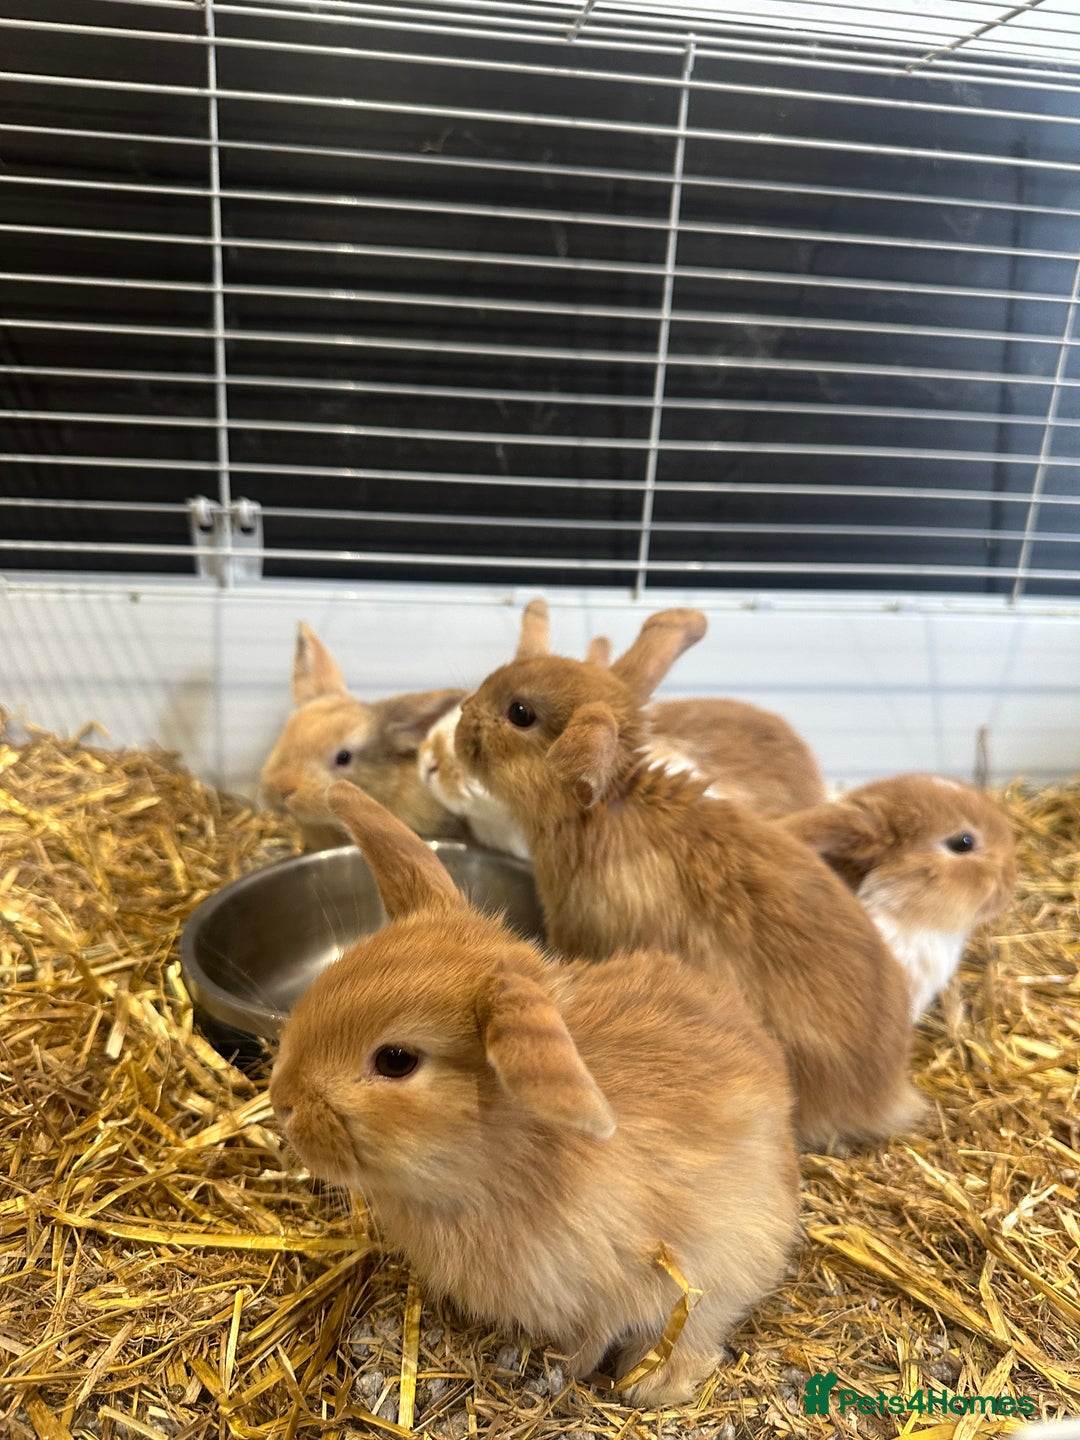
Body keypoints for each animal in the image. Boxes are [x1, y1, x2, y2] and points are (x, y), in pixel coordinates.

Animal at [270, 780, 800, 1409]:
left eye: (396, 1061)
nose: (282, 1102)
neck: (503, 1159)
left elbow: (594, 1337)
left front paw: (569, 1371)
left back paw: (655, 1382)